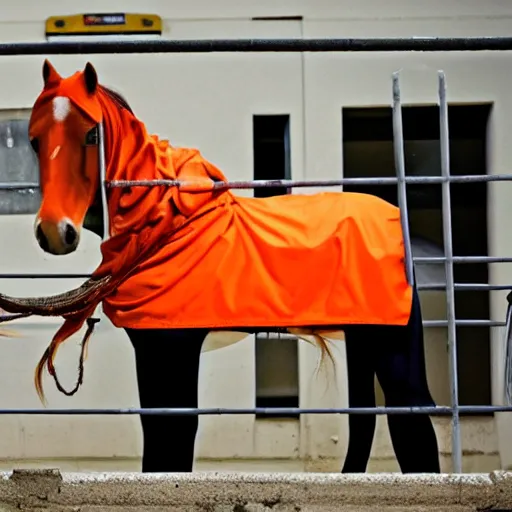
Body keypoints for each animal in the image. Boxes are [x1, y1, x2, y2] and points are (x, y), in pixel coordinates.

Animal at [0, 61, 440, 476]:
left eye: (92, 135)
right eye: (34, 139)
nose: (55, 232)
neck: (167, 226)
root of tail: (396, 219)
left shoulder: (172, 351)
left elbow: (171, 444)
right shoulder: (153, 352)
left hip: (391, 347)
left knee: (413, 422)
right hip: (362, 340)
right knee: (365, 420)